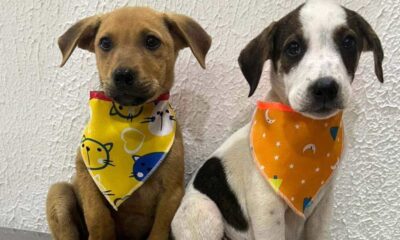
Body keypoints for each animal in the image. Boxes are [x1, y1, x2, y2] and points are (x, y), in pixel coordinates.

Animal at [46, 6, 211, 239]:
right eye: (105, 43)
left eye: (151, 41)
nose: (123, 75)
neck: (130, 117)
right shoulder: (86, 176)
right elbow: (97, 216)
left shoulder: (171, 192)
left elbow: (159, 230)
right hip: (58, 193)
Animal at [173, 0, 384, 239]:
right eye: (293, 47)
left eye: (348, 42)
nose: (325, 87)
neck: (307, 132)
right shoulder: (267, 208)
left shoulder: (322, 207)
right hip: (205, 211)